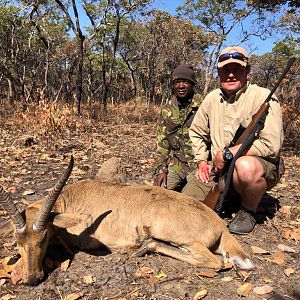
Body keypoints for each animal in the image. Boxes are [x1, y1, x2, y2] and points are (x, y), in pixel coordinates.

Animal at [0, 156, 253, 284]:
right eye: (18, 242)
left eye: (43, 238)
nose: (32, 279)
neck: (68, 200)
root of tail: (219, 224)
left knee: (215, 261)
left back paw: (143, 248)